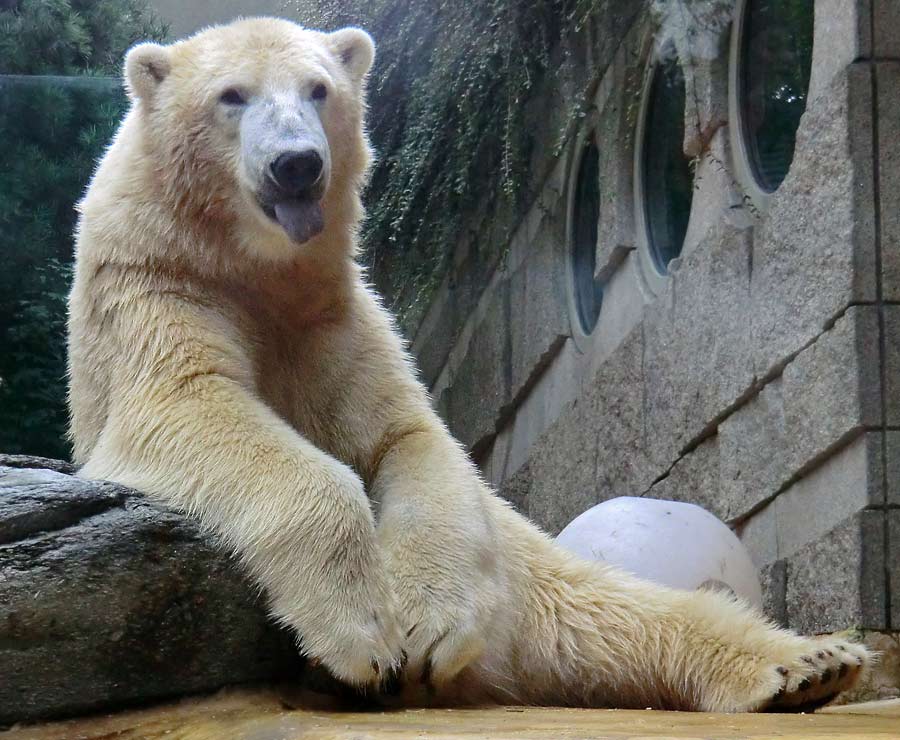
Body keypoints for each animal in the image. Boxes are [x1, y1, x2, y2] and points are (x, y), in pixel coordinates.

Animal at [70, 17, 872, 712]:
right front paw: (363, 638)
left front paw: (420, 630)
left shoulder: (335, 316)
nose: (297, 165)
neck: (257, 268)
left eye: (318, 89)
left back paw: (811, 663)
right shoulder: (157, 288)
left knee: (599, 606)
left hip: (509, 567)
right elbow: (189, 400)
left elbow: (408, 437)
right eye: (231, 95)